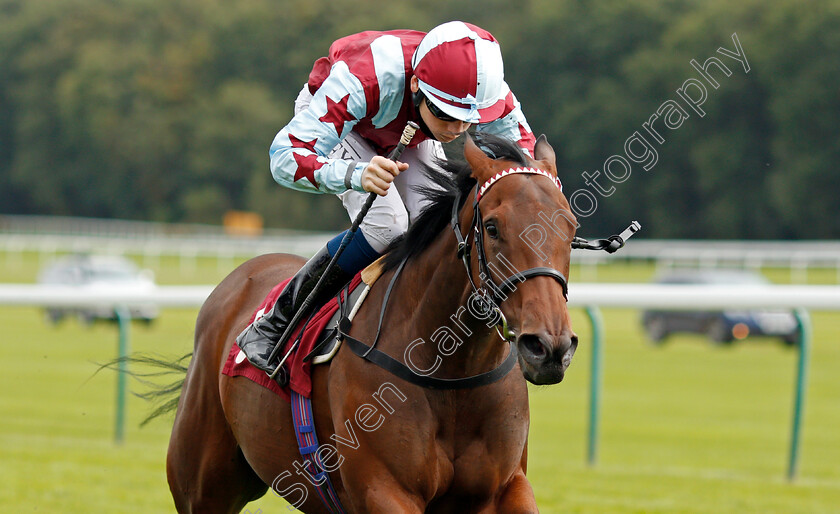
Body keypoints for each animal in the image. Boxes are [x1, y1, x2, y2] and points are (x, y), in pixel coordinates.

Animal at [168, 134, 580, 510]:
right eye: (492, 228)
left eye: (571, 228)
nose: (549, 347)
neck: (452, 375)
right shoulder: (384, 490)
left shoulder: (507, 486)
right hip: (203, 485)